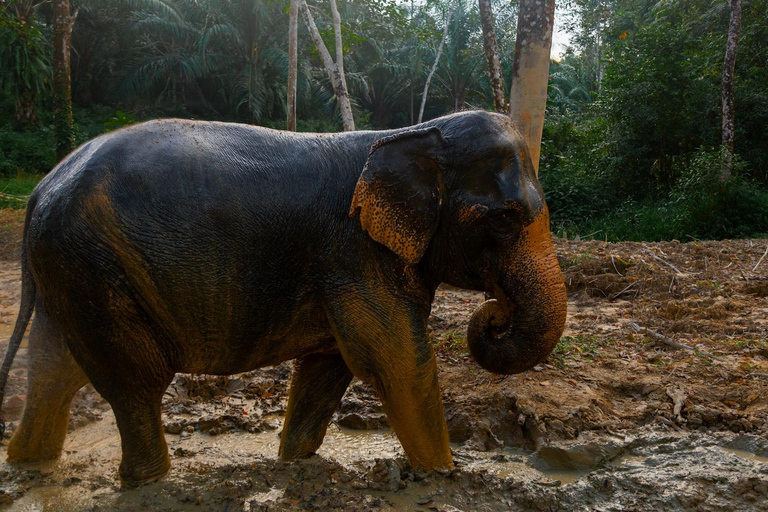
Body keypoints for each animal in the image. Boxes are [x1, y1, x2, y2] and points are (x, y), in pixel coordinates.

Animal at [0, 110, 564, 486]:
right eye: (505, 218)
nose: (492, 315)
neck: (413, 131)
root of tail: (40, 190)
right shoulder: (352, 251)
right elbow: (399, 362)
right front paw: (445, 478)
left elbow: (328, 365)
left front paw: (296, 464)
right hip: (92, 263)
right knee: (135, 378)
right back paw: (150, 482)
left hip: (71, 268)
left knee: (55, 370)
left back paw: (28, 462)